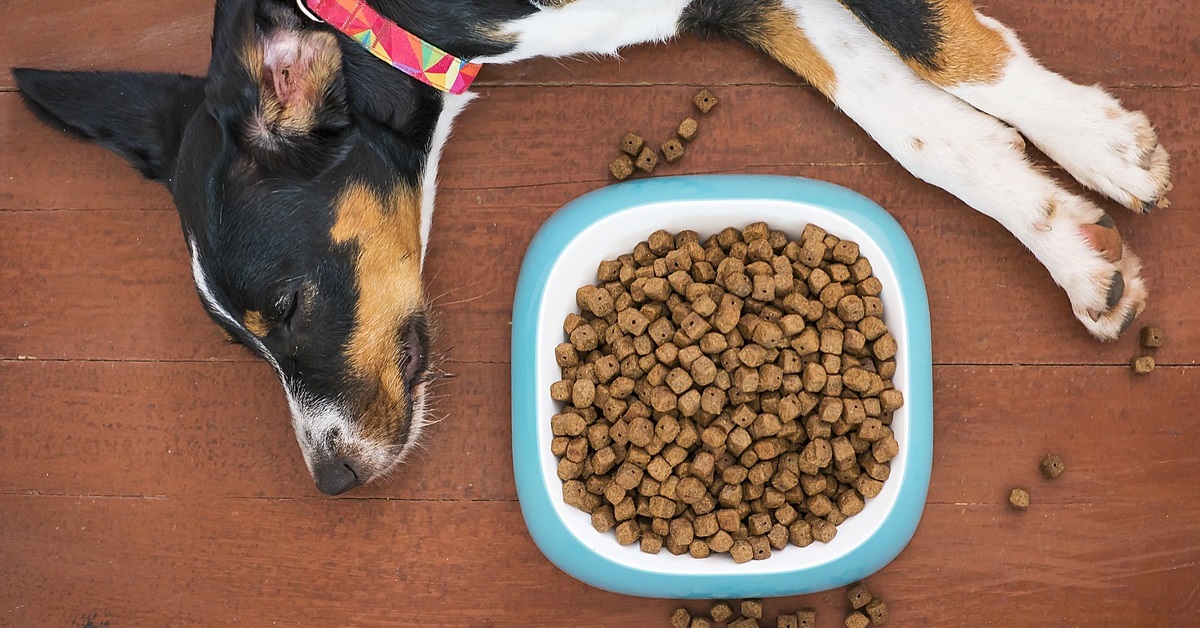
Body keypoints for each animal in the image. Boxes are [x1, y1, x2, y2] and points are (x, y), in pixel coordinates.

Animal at [11, 0, 1171, 494]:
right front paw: (1068, 235)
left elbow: (944, 46)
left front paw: (1101, 145)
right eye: (239, 345)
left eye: (288, 308)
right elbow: (917, 121)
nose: (332, 480)